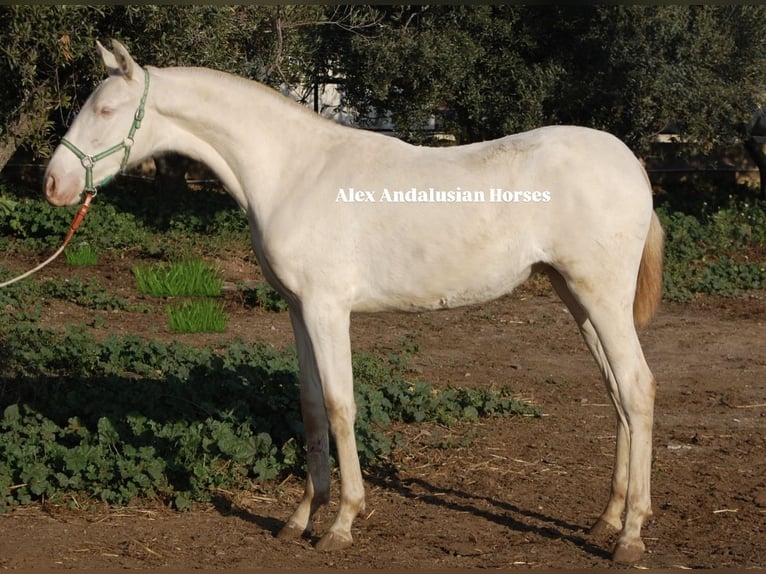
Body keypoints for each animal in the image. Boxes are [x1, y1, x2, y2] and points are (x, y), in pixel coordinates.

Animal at [43, 40, 664, 564]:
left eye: (106, 110)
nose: (54, 184)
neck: (295, 172)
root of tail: (632, 165)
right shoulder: (298, 312)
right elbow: (312, 408)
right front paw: (300, 518)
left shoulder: (327, 310)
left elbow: (342, 408)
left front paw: (342, 523)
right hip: (575, 296)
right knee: (617, 394)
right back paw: (605, 521)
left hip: (600, 298)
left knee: (637, 388)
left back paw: (630, 536)